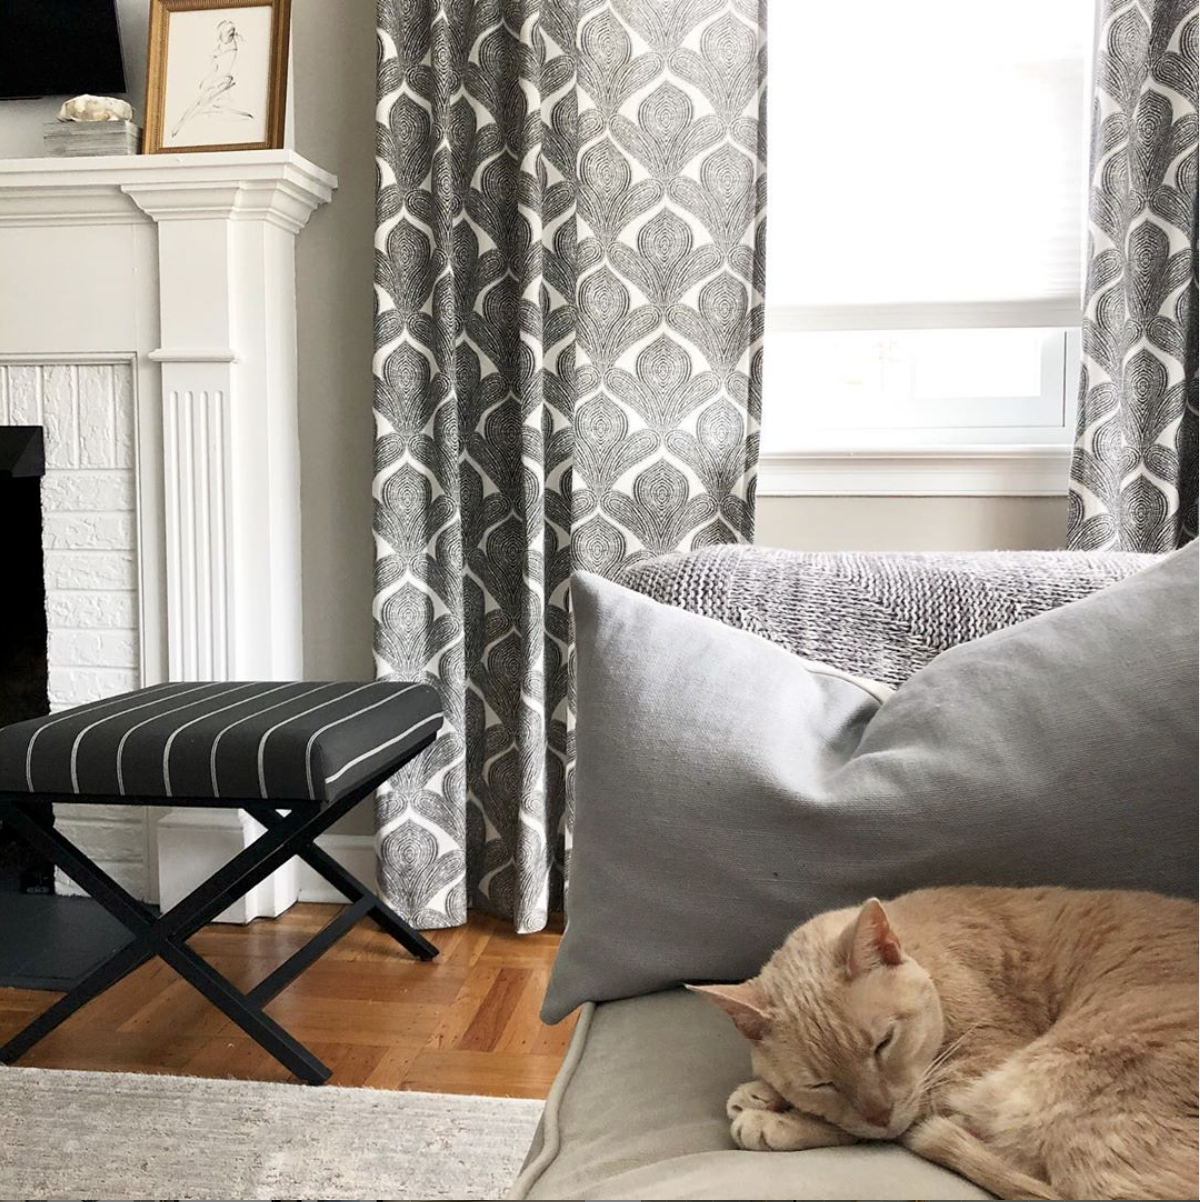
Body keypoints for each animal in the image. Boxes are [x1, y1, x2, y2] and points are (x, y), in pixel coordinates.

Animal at [691, 886, 1198, 1201]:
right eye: (820, 1083)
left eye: (884, 1043)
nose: (879, 1112)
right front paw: (762, 1094)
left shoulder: (971, 1071)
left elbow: (889, 1123)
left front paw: (774, 1120)